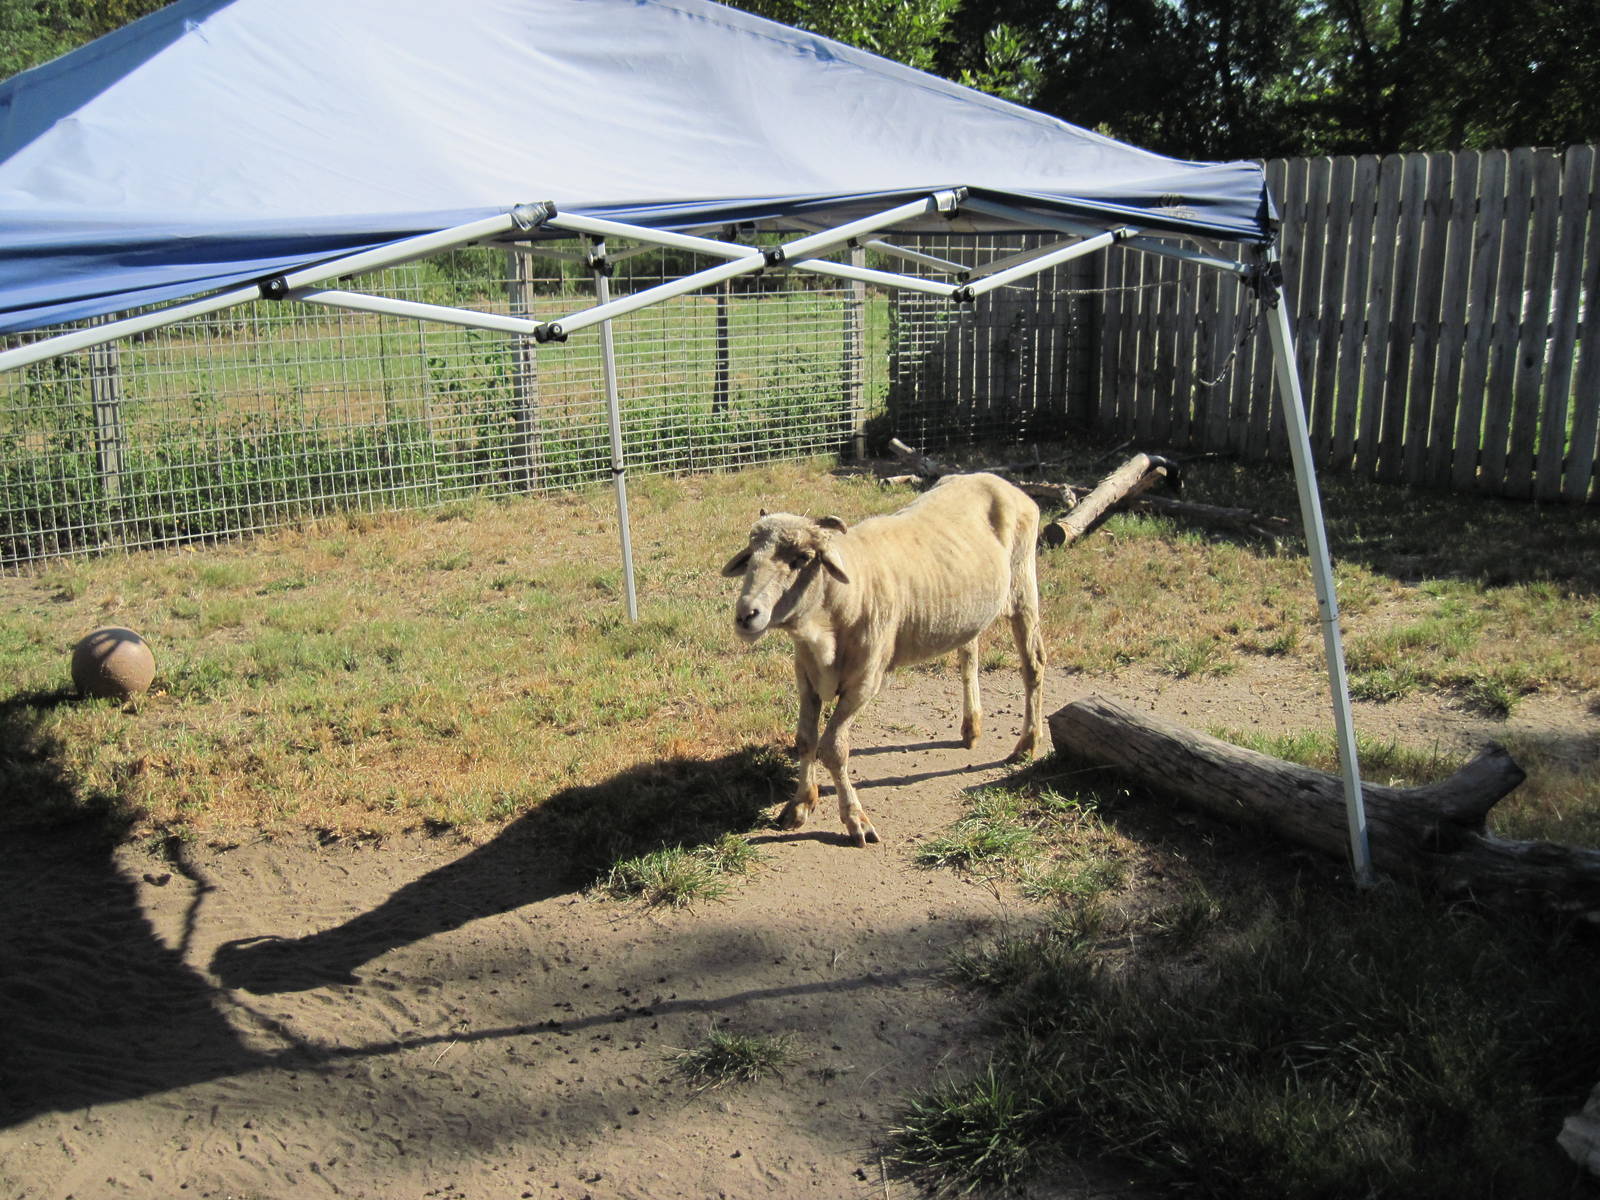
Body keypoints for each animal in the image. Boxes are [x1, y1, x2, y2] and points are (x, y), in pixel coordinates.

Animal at [721, 472, 1046, 846]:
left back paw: (1027, 744)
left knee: (1034, 664)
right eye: (750, 557)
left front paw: (855, 820)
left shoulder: (865, 680)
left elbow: (833, 748)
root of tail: (998, 480)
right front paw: (800, 805)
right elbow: (805, 740)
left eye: (802, 558)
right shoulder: (806, 674)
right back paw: (971, 727)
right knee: (969, 654)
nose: (746, 615)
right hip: (968, 610)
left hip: (1023, 588)